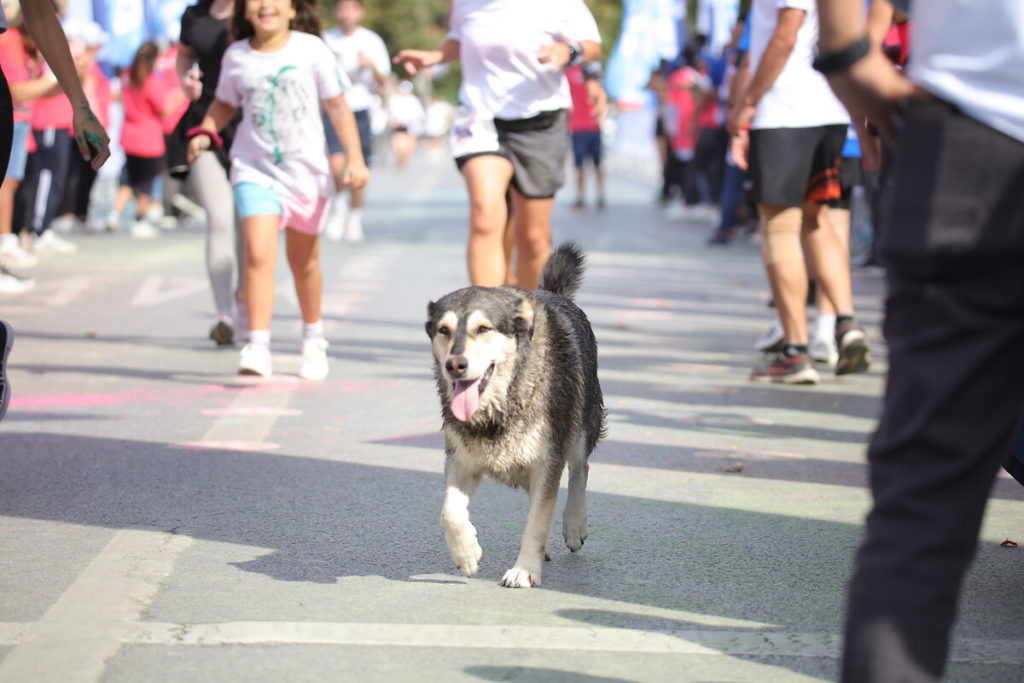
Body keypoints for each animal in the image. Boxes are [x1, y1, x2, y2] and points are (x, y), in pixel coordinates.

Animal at [425, 241, 606, 589]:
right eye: (443, 330)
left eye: (483, 328)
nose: (455, 365)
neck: (504, 401)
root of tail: (554, 293)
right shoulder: (462, 459)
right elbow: (449, 512)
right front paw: (467, 554)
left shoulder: (547, 460)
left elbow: (536, 521)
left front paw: (524, 571)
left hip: (580, 426)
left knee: (580, 469)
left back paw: (574, 524)